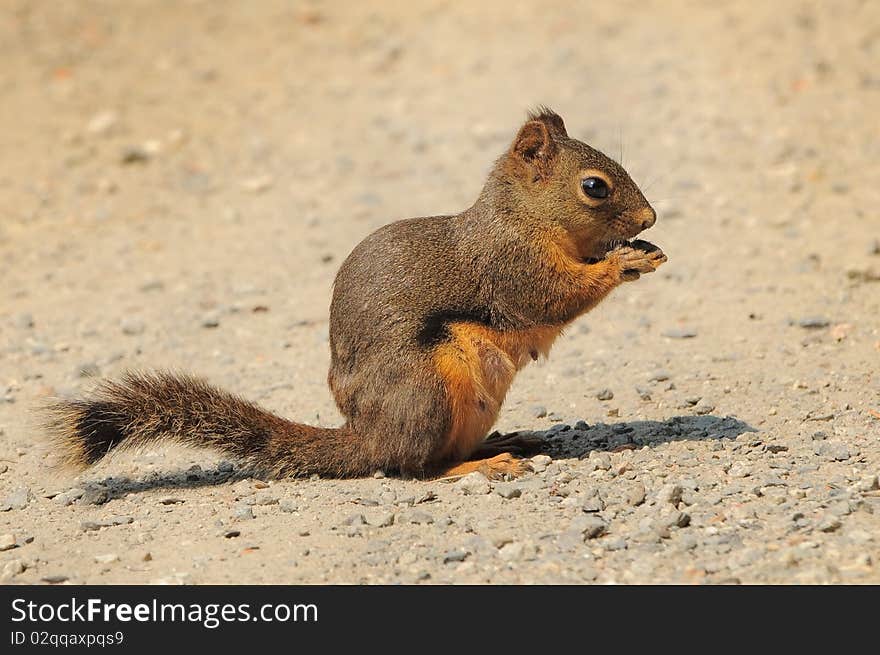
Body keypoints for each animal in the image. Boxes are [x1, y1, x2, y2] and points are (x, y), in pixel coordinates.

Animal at [46, 109, 668, 482]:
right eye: (594, 186)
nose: (649, 218)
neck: (522, 217)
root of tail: (366, 436)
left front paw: (644, 250)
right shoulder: (513, 267)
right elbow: (557, 297)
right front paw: (626, 261)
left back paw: (500, 444)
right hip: (426, 392)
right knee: (411, 468)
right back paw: (475, 468)